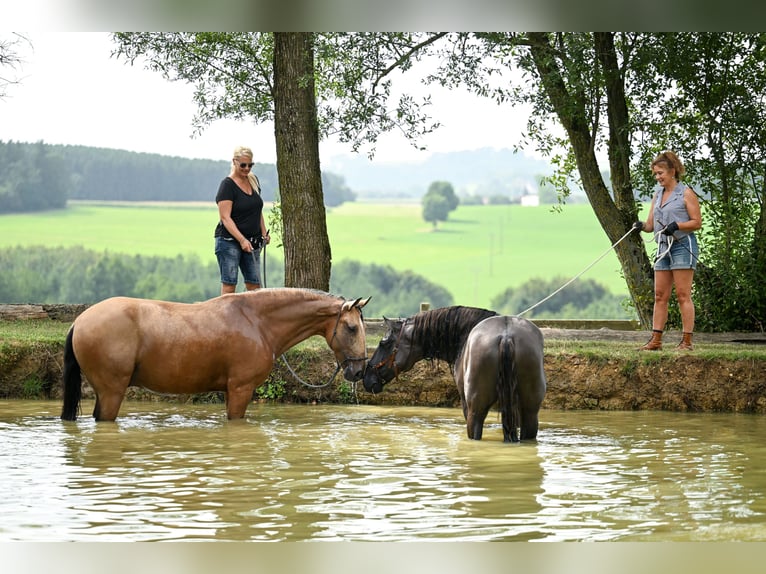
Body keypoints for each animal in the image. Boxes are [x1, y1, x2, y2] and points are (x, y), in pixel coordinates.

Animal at [60, 288, 372, 424]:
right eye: (352, 327)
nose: (359, 372)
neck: (256, 321)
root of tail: (81, 320)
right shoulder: (241, 390)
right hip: (112, 392)